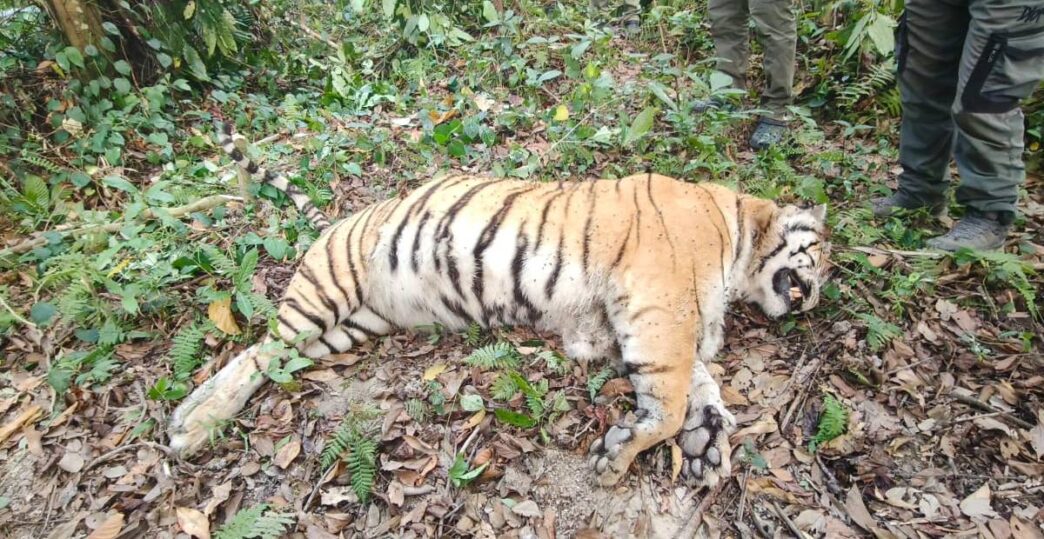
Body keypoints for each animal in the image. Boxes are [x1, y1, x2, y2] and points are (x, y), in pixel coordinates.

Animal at [167, 120, 828, 489]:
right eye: (820, 259)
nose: (816, 299)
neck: (739, 240)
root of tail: (340, 217)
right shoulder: (659, 304)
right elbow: (668, 399)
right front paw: (620, 456)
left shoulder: (651, 321)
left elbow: (701, 383)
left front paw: (707, 443)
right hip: (327, 288)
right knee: (260, 352)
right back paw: (193, 426)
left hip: (346, 327)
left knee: (266, 356)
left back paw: (191, 416)